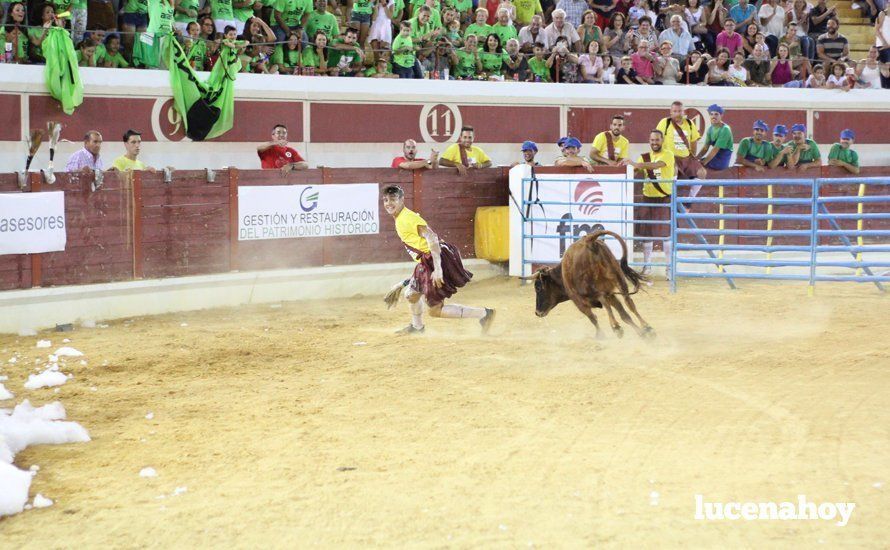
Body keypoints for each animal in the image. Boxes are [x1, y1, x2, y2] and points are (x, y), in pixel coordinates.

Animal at [520, 230, 652, 340]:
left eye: (538, 287)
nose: (537, 312)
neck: (562, 275)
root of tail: (589, 241)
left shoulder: (579, 302)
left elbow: (593, 317)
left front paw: (601, 334)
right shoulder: (611, 295)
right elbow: (624, 314)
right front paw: (641, 333)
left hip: (589, 287)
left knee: (604, 300)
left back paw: (615, 327)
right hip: (619, 279)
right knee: (628, 301)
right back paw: (647, 327)